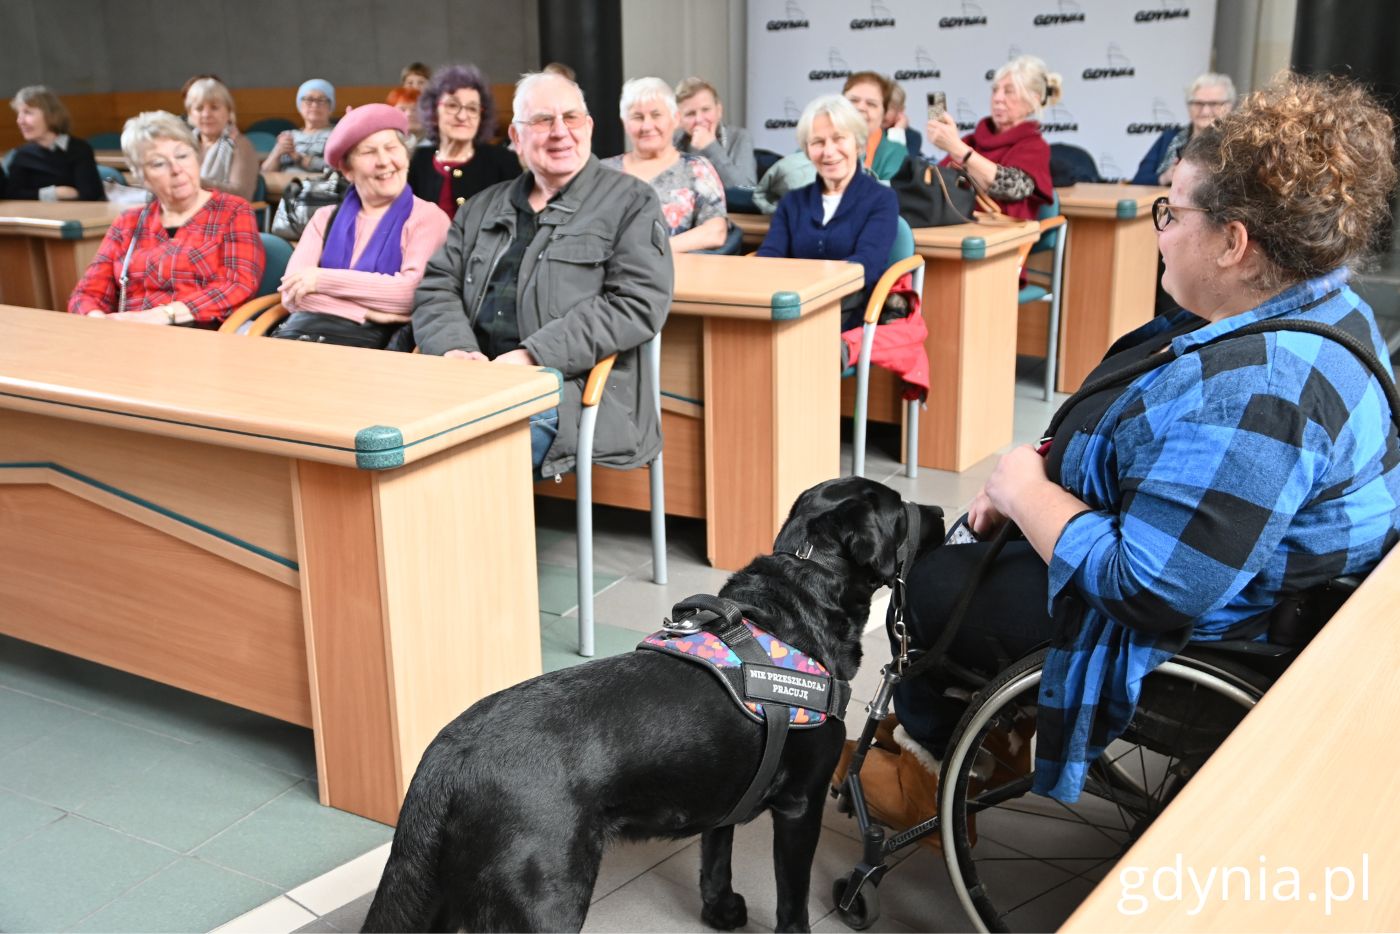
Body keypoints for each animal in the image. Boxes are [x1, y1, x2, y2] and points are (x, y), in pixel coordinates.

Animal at [366, 478, 946, 929]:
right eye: (902, 510)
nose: (941, 512)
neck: (800, 598)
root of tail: (447, 757)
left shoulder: (728, 788)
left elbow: (717, 854)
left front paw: (720, 911)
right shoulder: (801, 806)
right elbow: (792, 902)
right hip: (545, 899)